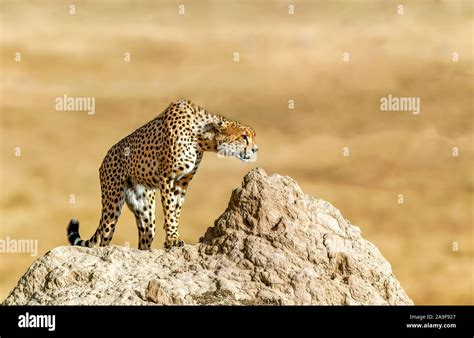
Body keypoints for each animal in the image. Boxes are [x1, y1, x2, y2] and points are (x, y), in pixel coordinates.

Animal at [66, 99, 258, 250]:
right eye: (243, 136)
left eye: (252, 136)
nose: (256, 149)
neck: (200, 137)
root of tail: (106, 157)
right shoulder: (168, 178)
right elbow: (170, 209)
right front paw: (172, 239)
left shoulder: (182, 182)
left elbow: (176, 210)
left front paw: (173, 236)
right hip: (112, 202)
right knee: (105, 235)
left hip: (144, 209)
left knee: (146, 235)